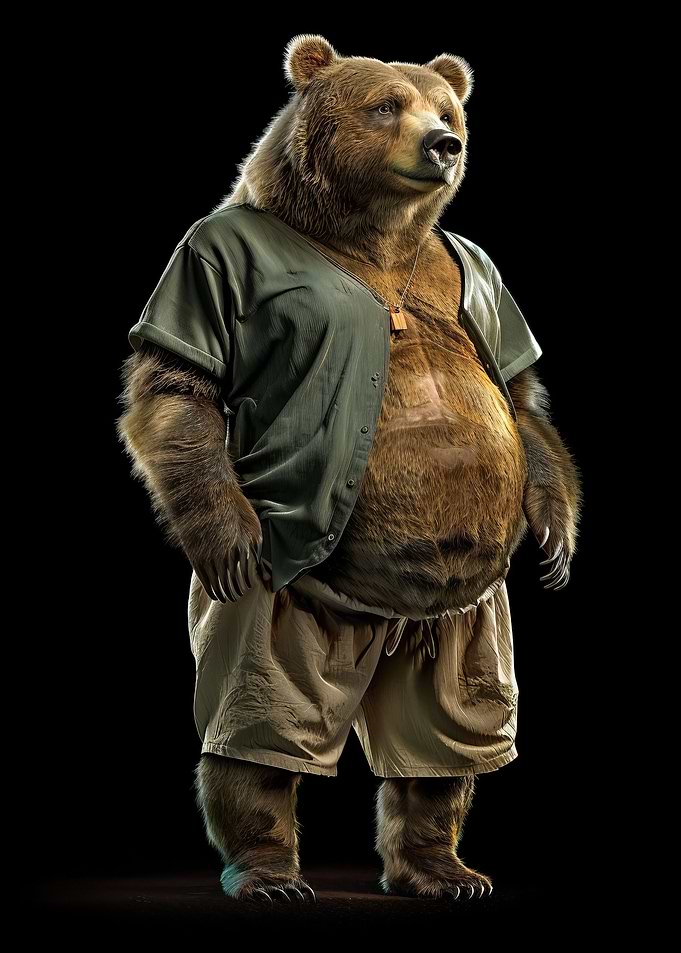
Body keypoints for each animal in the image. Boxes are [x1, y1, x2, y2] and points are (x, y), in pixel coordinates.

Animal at [116, 34, 582, 903]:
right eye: (385, 104)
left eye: (447, 105)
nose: (444, 143)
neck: (377, 236)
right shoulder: (205, 261)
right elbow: (181, 383)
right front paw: (226, 536)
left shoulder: (481, 283)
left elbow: (519, 392)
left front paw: (556, 534)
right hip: (293, 597)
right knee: (260, 716)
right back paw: (265, 869)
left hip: (461, 611)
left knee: (452, 720)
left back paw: (443, 868)